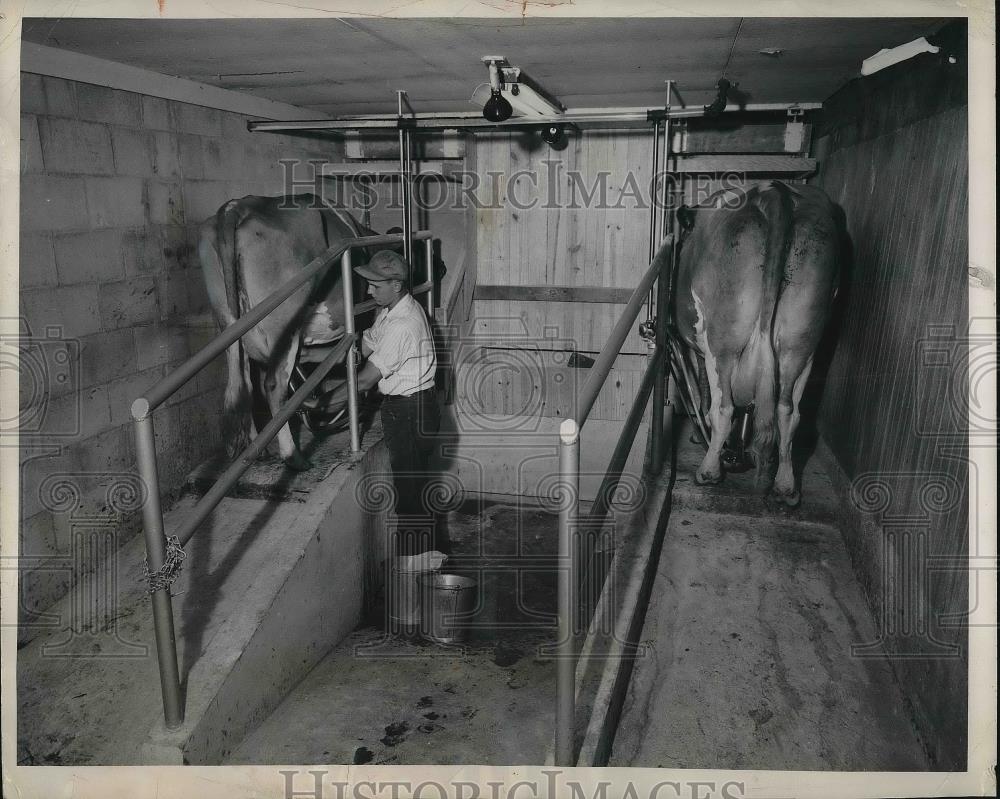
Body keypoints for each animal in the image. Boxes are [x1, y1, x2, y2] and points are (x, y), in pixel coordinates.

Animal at [198, 196, 376, 472]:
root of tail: (238, 206)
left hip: (228, 322)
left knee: (243, 384)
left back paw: (258, 450)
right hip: (286, 320)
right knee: (273, 385)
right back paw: (293, 457)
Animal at [672, 180, 844, 506]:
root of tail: (774, 192)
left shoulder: (697, 348)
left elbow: (702, 392)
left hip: (723, 343)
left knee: (723, 407)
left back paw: (709, 471)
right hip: (801, 344)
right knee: (788, 411)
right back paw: (785, 486)